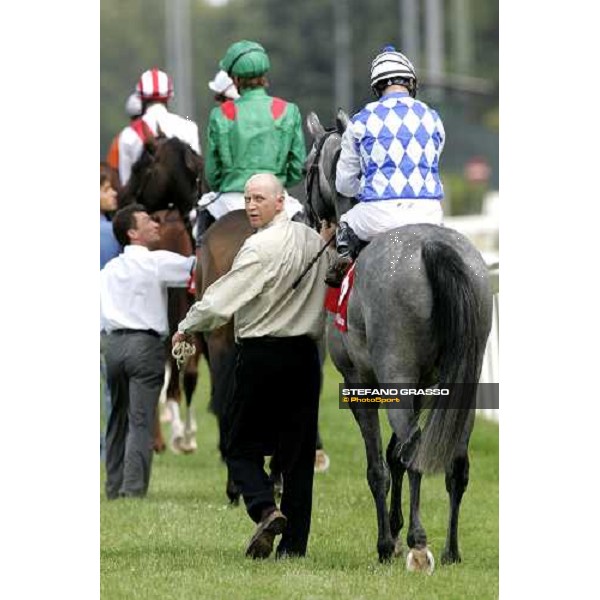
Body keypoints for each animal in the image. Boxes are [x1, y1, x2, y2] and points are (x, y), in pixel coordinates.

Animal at [304, 111, 492, 568]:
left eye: (306, 168)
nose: (308, 216)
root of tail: (431, 248)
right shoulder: (424, 384)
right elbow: (393, 457)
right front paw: (394, 525)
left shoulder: (360, 382)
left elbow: (379, 465)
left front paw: (387, 542)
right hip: (464, 379)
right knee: (454, 460)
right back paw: (451, 550)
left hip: (397, 373)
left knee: (415, 448)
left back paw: (419, 546)